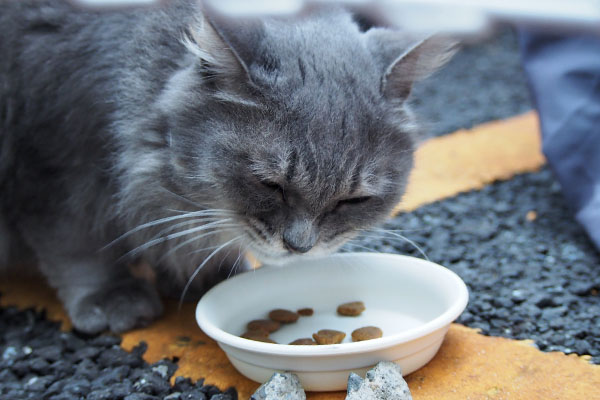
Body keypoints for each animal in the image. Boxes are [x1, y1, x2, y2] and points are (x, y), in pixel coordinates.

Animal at [0, 0, 454, 332]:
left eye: (353, 200)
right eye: (270, 184)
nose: (300, 247)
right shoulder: (52, 167)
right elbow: (78, 247)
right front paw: (113, 298)